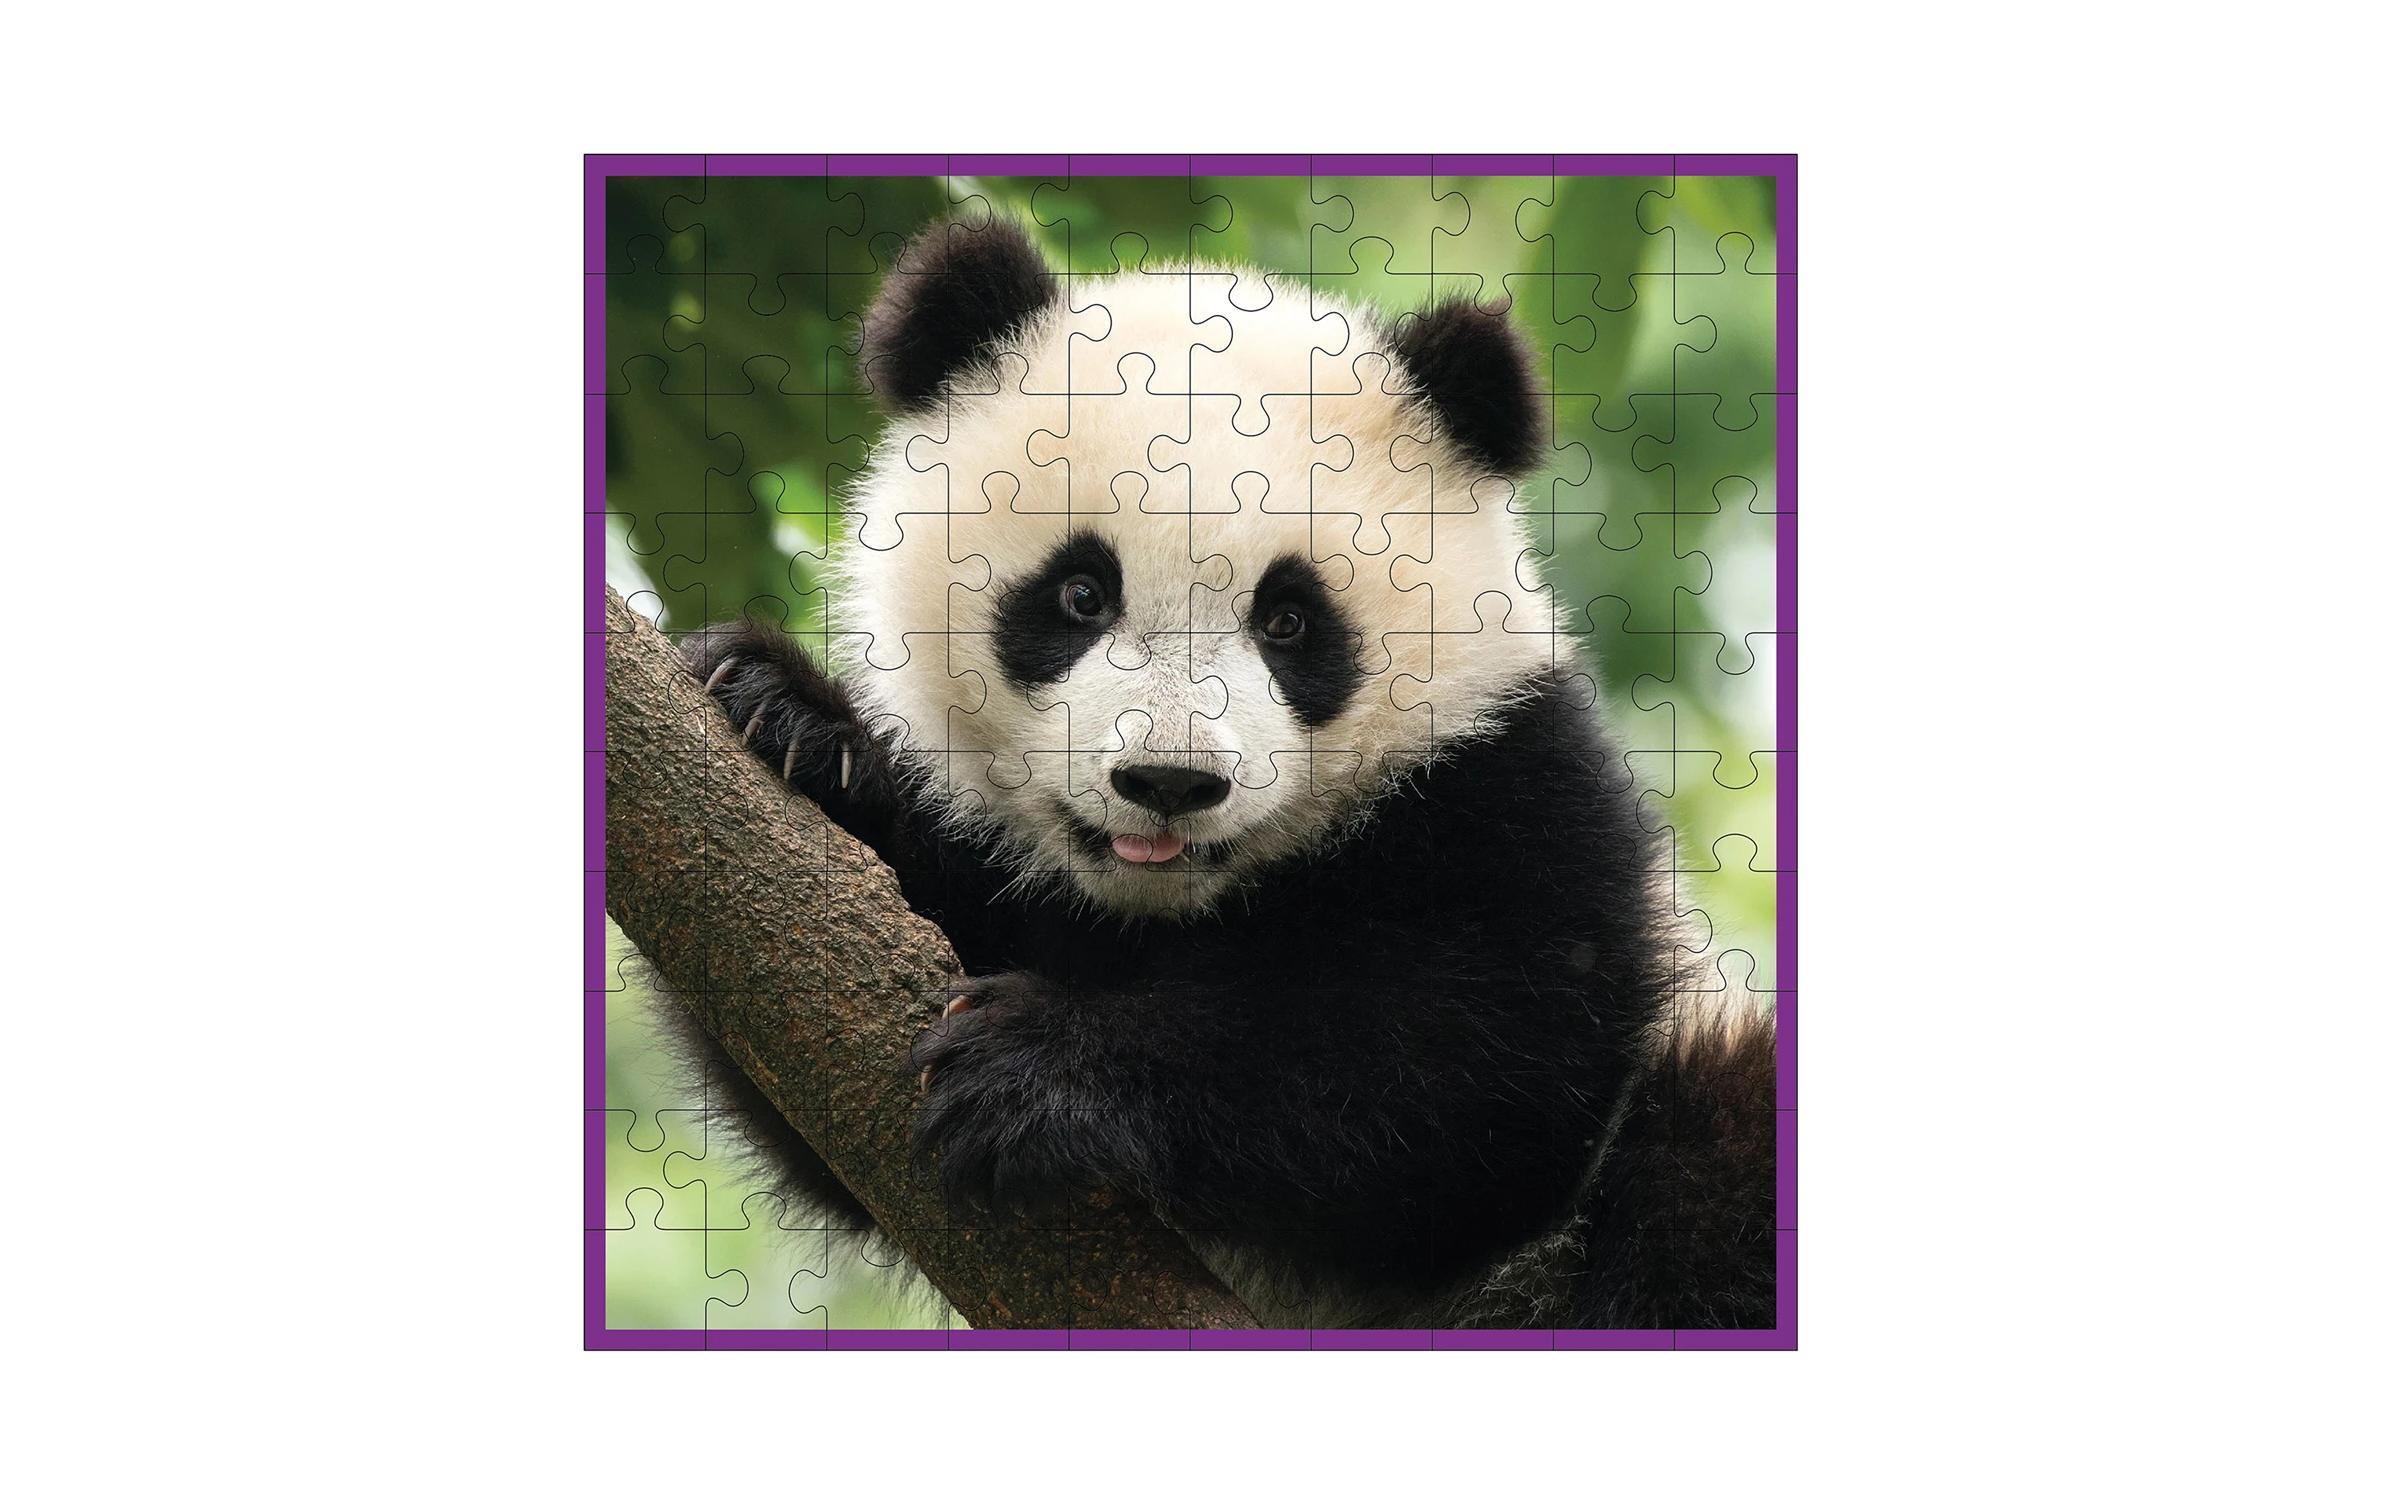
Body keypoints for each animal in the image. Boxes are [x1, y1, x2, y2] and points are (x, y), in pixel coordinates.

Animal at [677, 217, 1775, 1330]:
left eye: (1289, 621)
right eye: (1080, 593)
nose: (1168, 781)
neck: (1162, 912)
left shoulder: (1512, 780)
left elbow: (1478, 1071)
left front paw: (1040, 1074)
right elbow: (819, 1085)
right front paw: (791, 720)